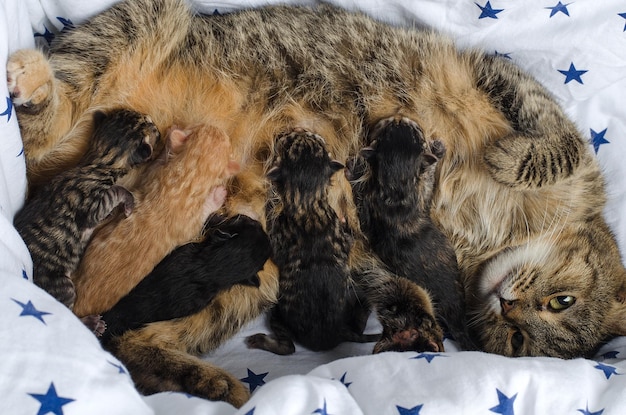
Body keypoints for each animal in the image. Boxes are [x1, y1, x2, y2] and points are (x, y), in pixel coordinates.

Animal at [14, 109, 157, 314]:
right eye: (150, 124)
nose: (158, 129)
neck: (97, 161)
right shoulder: (91, 205)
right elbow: (116, 191)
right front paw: (127, 201)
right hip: (59, 283)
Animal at [246, 132, 378, 356]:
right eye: (315, 138)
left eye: (287, 141)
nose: (281, 133)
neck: (309, 202)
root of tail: (339, 332)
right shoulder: (339, 233)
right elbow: (348, 239)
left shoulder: (281, 236)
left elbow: (275, 249)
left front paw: (270, 202)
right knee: (358, 323)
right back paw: (364, 309)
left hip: (279, 315)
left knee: (288, 346)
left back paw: (261, 341)